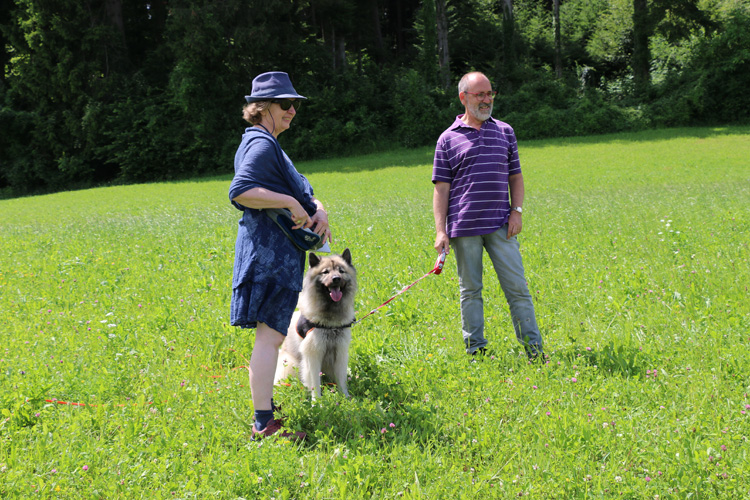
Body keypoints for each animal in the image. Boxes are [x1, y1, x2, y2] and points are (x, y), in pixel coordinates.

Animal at [276, 249, 358, 398]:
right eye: (325, 272)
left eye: (341, 271)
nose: (336, 278)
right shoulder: (313, 354)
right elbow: (314, 382)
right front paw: (317, 401)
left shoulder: (340, 352)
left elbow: (341, 379)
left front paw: (345, 397)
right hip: (292, 364)